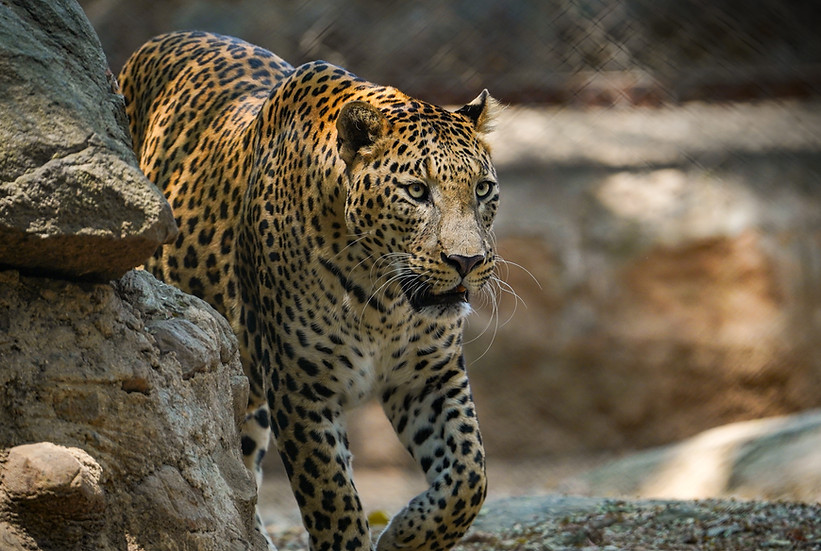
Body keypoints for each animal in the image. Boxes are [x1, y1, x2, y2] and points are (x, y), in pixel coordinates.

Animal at [119, 30, 500, 551]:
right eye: (417, 191)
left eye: (482, 189)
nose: (467, 262)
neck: (385, 301)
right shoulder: (301, 390)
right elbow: (335, 503)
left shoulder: (430, 375)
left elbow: (469, 476)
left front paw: (403, 536)